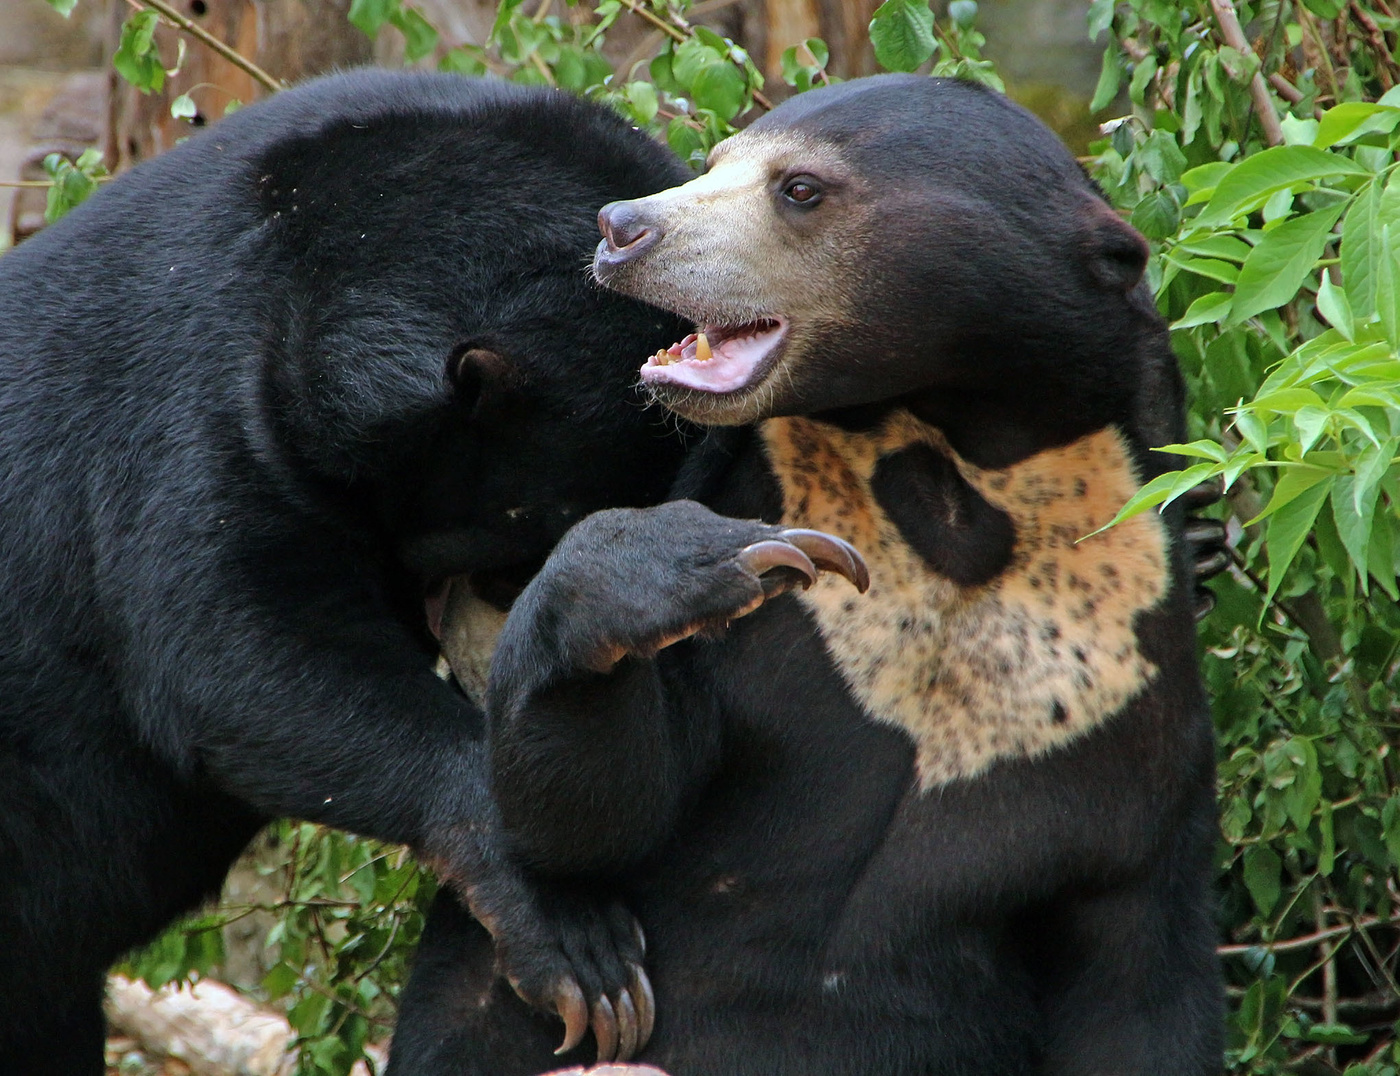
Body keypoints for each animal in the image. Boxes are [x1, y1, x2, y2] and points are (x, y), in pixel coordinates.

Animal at [389, 73, 1220, 1074]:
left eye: (800, 189)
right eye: (713, 162)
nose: (621, 227)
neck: (956, 486)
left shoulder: (1125, 690)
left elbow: (1137, 981)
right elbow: (594, 820)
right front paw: (705, 562)